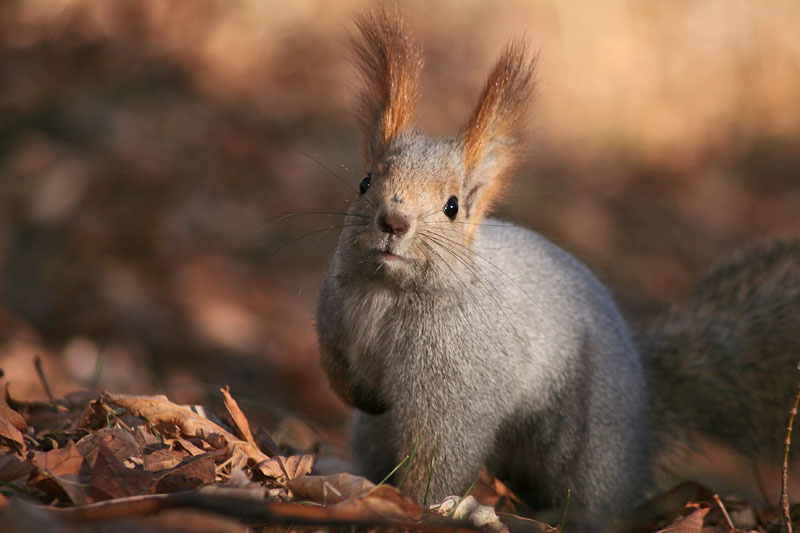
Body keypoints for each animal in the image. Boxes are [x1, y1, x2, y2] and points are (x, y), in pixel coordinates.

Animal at [315, 8, 800, 529]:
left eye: (451, 206)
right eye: (365, 182)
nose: (394, 221)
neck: (387, 292)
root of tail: (644, 416)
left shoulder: (458, 379)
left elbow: (441, 450)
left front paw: (420, 505)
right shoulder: (334, 317)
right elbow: (334, 366)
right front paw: (360, 395)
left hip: (584, 443)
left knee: (592, 501)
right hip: (374, 435)